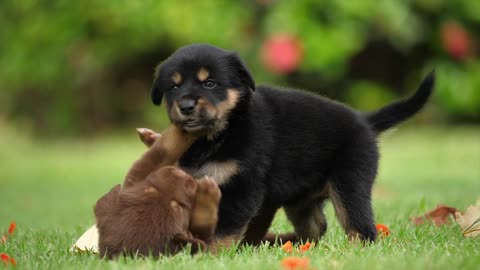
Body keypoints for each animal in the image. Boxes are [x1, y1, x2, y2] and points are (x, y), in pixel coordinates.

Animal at [94, 127, 221, 260]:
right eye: (179, 208)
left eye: (149, 190)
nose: (179, 173)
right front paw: (208, 192)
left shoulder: (132, 183)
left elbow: (154, 157)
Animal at [150, 44, 436, 245]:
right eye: (173, 87)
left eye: (209, 83)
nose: (186, 106)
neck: (222, 132)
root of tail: (364, 120)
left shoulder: (241, 187)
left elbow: (223, 229)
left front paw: (210, 253)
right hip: (302, 200)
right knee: (317, 225)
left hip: (350, 183)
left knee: (361, 228)